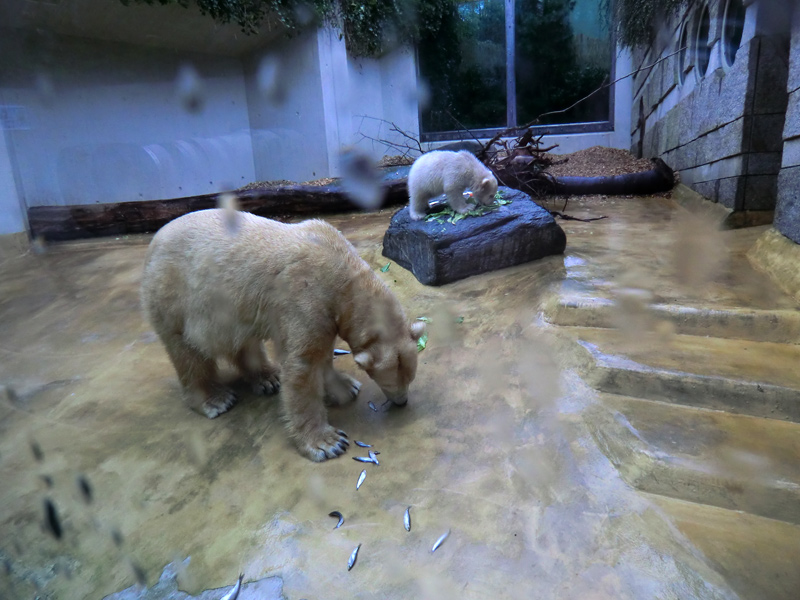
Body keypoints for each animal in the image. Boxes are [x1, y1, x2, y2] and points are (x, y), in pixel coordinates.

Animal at [141, 209, 424, 462]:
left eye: (410, 378)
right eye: (391, 383)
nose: (402, 402)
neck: (341, 269)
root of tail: (153, 244)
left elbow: (322, 353)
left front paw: (345, 387)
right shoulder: (303, 297)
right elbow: (303, 366)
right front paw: (327, 443)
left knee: (243, 341)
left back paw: (268, 378)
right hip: (177, 295)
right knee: (186, 351)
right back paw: (215, 399)